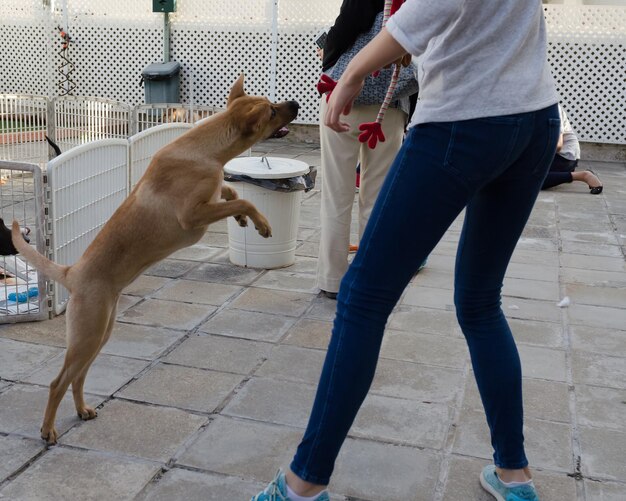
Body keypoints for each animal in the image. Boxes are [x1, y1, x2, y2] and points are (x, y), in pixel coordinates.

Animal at [11, 74, 300, 442]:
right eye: (272, 111)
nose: (295, 104)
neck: (205, 149)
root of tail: (71, 272)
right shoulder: (192, 218)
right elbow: (242, 199)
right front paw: (260, 223)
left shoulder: (211, 196)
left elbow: (231, 191)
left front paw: (243, 219)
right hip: (87, 334)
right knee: (57, 382)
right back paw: (48, 429)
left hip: (99, 333)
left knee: (77, 377)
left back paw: (82, 409)